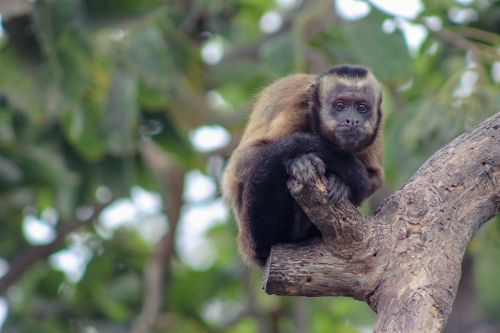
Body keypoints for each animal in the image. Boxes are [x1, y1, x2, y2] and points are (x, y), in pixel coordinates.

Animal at [222, 65, 382, 268]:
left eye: (362, 108)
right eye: (340, 105)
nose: (352, 120)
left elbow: (375, 178)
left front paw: (341, 184)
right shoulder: (298, 111)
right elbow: (241, 161)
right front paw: (299, 162)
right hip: (252, 233)